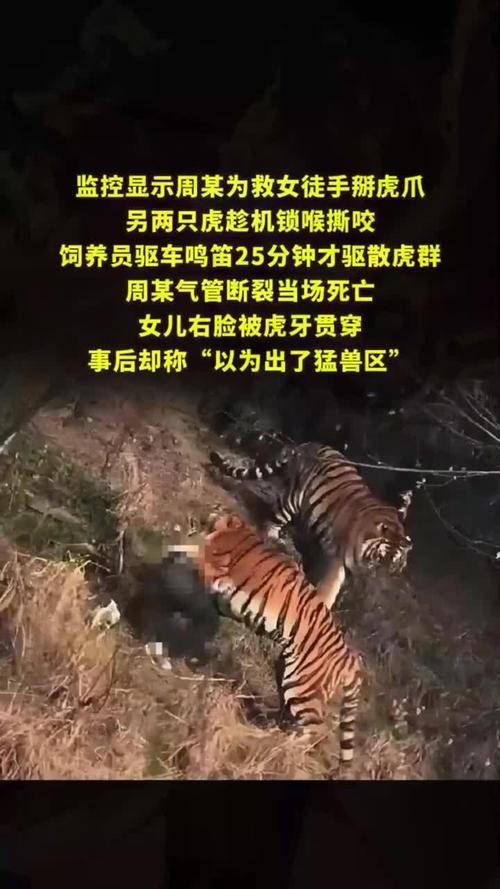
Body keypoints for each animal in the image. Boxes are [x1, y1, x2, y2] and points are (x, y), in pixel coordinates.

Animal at [168, 512, 364, 768]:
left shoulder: (210, 565)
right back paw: (272, 730)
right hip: (289, 675)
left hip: (303, 688)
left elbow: (189, 548)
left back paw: (280, 743)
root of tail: (351, 660)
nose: (203, 520)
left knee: (315, 728)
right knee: (293, 717)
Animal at [209, 442, 413, 610]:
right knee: (273, 522)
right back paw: (275, 540)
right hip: (294, 499)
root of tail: (311, 444)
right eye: (380, 558)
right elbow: (330, 587)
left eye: (394, 565)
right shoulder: (338, 560)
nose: (378, 582)